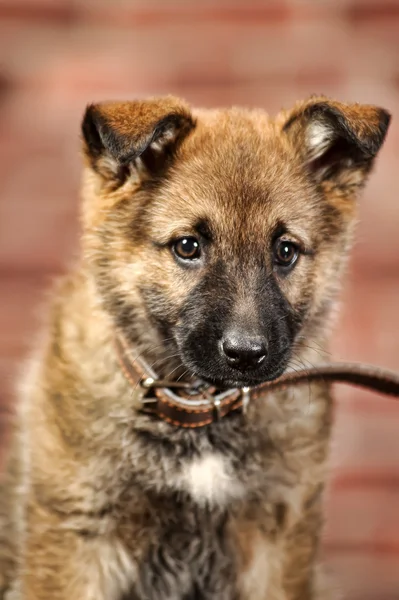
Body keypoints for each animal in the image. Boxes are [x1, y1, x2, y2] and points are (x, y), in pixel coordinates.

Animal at [0, 96, 390, 596]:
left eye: (285, 251)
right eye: (188, 246)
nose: (245, 354)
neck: (198, 409)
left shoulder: (278, 543)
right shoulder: (75, 538)